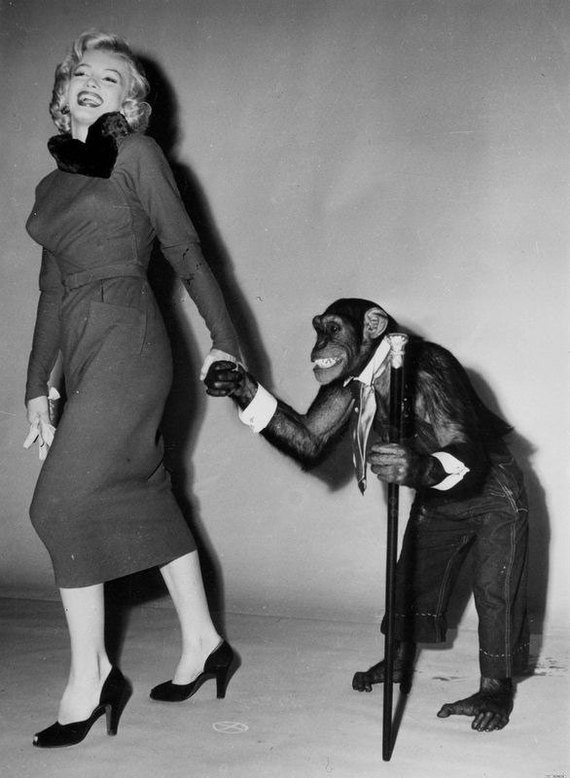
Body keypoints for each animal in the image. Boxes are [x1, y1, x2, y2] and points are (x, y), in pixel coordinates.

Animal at [205, 298, 529, 733]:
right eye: (317, 327)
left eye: (333, 328)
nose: (319, 345)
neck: (379, 367)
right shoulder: (341, 384)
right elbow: (312, 436)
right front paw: (232, 380)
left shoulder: (437, 370)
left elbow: (460, 439)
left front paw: (410, 466)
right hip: (434, 523)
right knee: (411, 592)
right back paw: (392, 668)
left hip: (505, 507)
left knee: (498, 599)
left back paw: (491, 696)